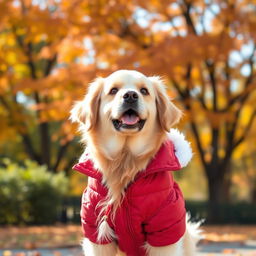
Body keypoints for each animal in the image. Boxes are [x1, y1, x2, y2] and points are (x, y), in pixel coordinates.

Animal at [71, 70, 201, 256]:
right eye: (113, 90)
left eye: (144, 91)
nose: (130, 96)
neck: (126, 160)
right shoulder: (96, 231)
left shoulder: (165, 230)